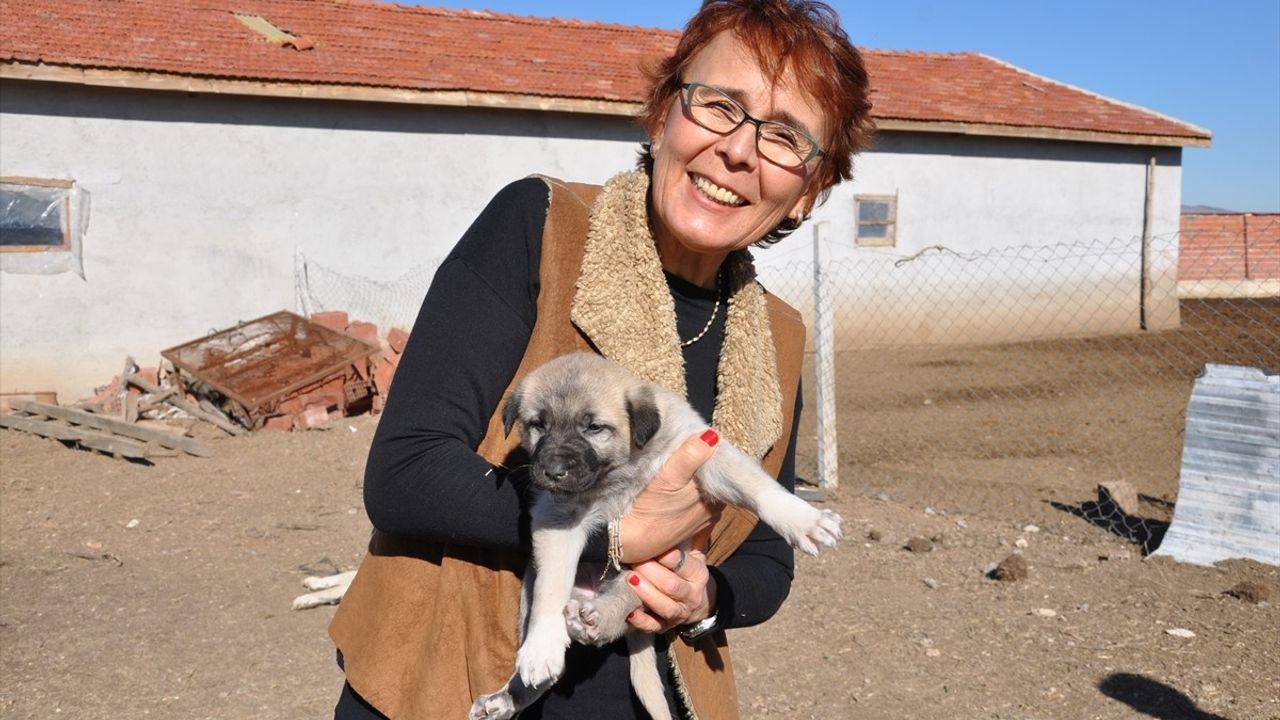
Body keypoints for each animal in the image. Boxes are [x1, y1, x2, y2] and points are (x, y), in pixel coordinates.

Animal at [471, 351, 839, 712]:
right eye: (538, 425)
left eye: (594, 427)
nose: (552, 471)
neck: (621, 472)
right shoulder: (557, 518)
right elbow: (551, 589)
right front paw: (541, 647)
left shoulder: (703, 452)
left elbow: (756, 485)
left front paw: (805, 520)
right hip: (531, 588)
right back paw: (507, 697)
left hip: (652, 570)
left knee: (623, 602)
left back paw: (596, 618)